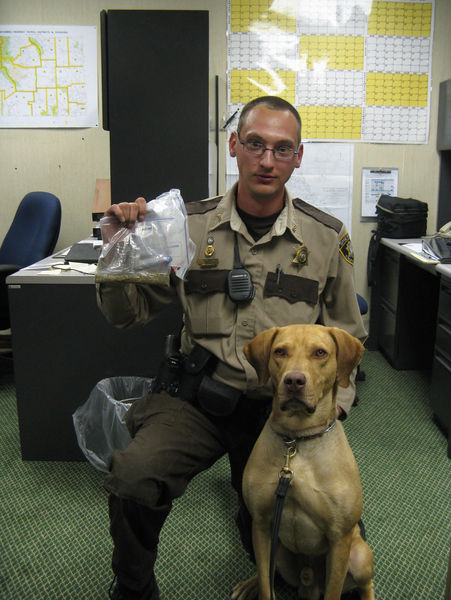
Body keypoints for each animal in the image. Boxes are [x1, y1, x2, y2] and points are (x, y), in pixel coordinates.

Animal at [231, 328, 376, 600]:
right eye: (280, 351)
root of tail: (309, 584)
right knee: (270, 574)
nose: (294, 381)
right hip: (279, 552)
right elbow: (266, 585)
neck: (297, 440)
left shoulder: (339, 539)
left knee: (366, 584)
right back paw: (249, 584)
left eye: (320, 352)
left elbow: (333, 592)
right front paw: (258, 586)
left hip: (359, 557)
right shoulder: (262, 526)